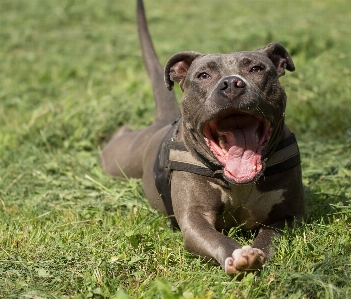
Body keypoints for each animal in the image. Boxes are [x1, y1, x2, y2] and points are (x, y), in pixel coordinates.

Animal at [100, 0, 304, 276]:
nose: (231, 84)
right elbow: (216, 238)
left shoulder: (288, 215)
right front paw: (237, 254)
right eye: (203, 75)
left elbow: (269, 236)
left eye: (256, 68)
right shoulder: (194, 220)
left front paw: (256, 251)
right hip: (118, 160)